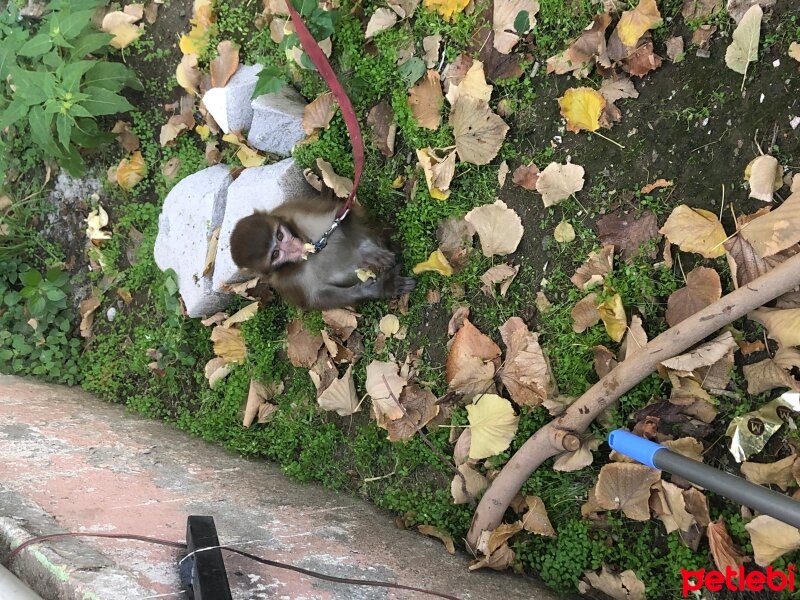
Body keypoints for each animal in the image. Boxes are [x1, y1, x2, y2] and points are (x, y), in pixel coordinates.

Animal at [225, 193, 412, 310]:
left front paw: (366, 251)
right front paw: (381, 288)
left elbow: (342, 214)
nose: (295, 247)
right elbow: (318, 297)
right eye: (276, 254)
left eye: (280, 235)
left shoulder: (297, 214)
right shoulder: (286, 282)